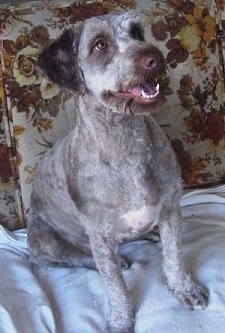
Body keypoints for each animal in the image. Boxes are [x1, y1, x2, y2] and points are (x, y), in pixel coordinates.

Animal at [27, 11, 209, 332]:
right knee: (76, 258)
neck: (126, 143)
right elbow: (116, 287)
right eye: (100, 45)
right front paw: (121, 321)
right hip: (42, 239)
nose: (154, 57)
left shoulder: (171, 210)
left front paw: (184, 289)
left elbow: (174, 257)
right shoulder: (100, 238)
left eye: (137, 33)